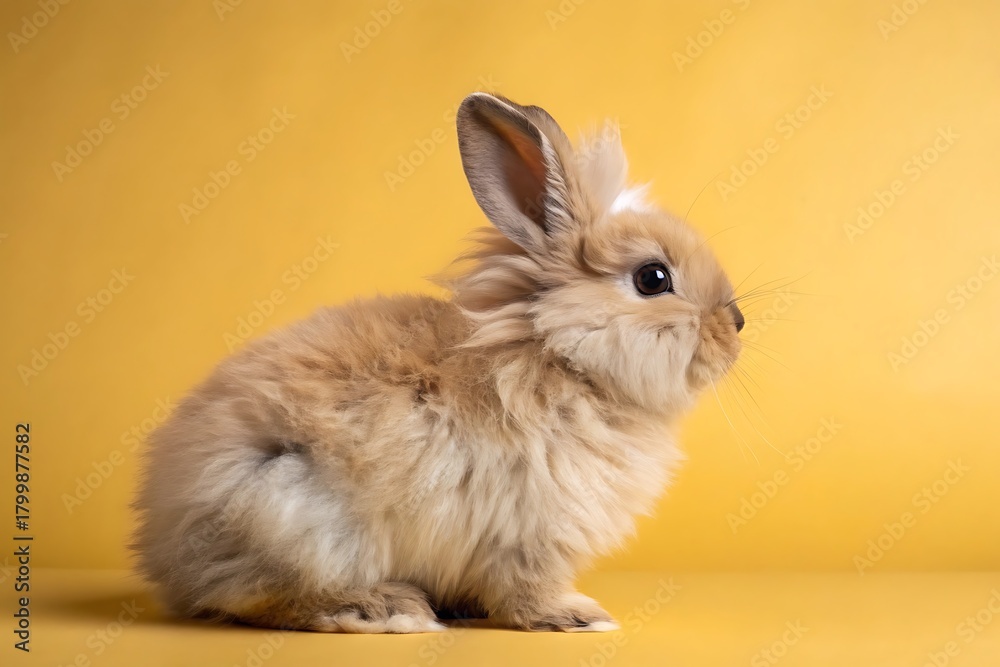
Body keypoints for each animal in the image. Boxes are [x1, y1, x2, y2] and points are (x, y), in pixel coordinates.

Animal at [132, 92, 744, 634]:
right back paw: (384, 610)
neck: (559, 353)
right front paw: (576, 616)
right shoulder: (531, 533)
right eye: (653, 278)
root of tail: (165, 544)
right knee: (259, 597)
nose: (736, 326)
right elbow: (529, 589)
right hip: (299, 521)